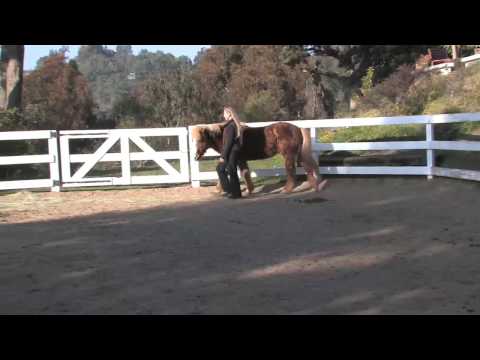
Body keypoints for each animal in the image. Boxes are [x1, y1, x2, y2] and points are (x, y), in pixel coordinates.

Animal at [191, 121, 326, 194]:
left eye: (201, 139)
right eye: (193, 140)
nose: (196, 156)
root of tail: (297, 128)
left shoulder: (236, 160)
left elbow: (237, 173)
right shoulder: (241, 160)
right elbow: (245, 173)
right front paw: (249, 190)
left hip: (289, 156)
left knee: (292, 172)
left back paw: (287, 190)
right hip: (298, 155)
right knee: (308, 168)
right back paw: (314, 186)